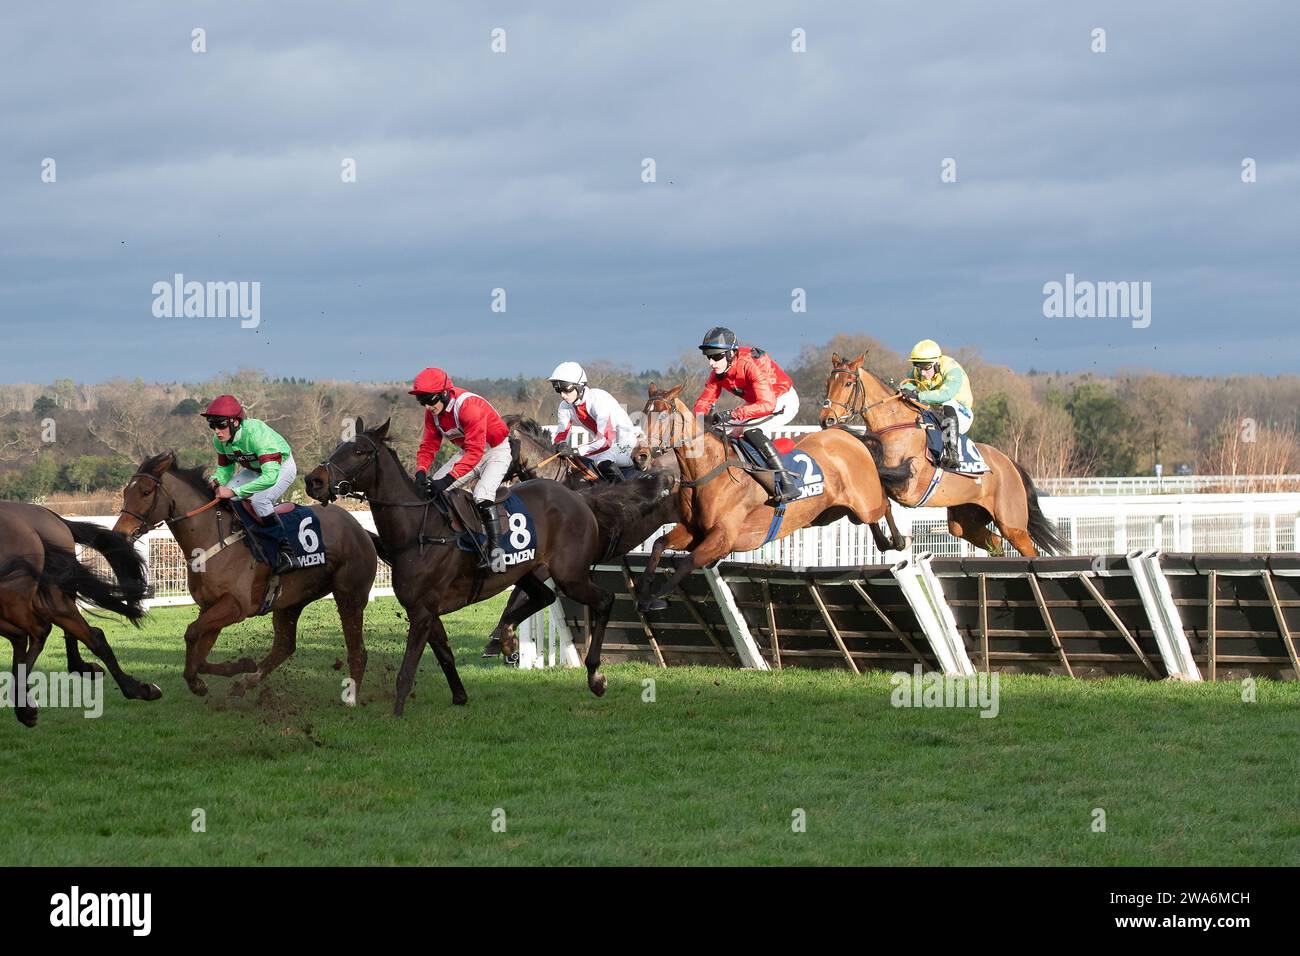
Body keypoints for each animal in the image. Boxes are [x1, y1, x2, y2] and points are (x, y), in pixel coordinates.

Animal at [111, 447, 379, 702]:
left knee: (357, 649)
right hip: (290, 601)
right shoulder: (211, 606)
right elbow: (200, 651)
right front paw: (237, 667)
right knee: (284, 645)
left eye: (146, 492)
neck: (212, 538)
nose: (120, 533)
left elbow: (192, 633)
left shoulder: (235, 606)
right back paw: (245, 683)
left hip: (350, 596)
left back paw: (351, 696)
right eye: (125, 493)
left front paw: (198, 682)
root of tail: (359, 528)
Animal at [305, 421, 660, 712]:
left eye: (359, 451)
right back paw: (506, 638)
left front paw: (396, 715)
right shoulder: (425, 609)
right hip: (527, 571)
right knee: (542, 598)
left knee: (604, 600)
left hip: (569, 575)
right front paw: (460, 696)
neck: (418, 527)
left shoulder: (422, 611)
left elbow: (406, 671)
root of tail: (580, 498)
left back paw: (595, 676)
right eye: (338, 447)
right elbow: (445, 654)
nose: (313, 481)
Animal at [634, 382, 909, 613]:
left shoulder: (722, 538)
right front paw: (643, 591)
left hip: (864, 503)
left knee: (884, 504)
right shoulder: (694, 531)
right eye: (643, 414)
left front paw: (656, 597)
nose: (640, 456)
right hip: (829, 514)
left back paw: (898, 540)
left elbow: (687, 562)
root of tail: (846, 436)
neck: (708, 470)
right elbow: (659, 544)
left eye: (662, 415)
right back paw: (885, 542)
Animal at [821, 353, 1066, 556]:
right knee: (994, 542)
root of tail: (1010, 464)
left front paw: (899, 540)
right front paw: (886, 539)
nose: (827, 419)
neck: (893, 425)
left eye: (848, 383)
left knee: (1028, 549)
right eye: (828, 384)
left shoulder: (909, 488)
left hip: (1012, 523)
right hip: (965, 522)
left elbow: (882, 491)